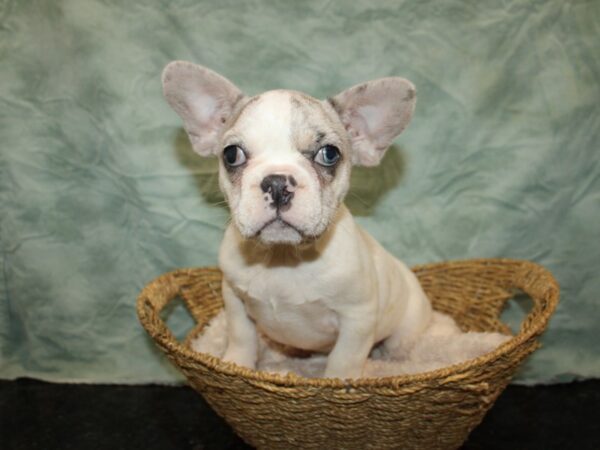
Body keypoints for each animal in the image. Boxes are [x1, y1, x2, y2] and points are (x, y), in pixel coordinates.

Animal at [161, 61, 432, 378]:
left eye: (329, 154)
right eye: (231, 155)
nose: (278, 183)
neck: (284, 258)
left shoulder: (358, 319)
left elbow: (344, 358)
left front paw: (337, 382)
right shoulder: (234, 298)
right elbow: (241, 336)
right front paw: (236, 364)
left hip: (405, 329)